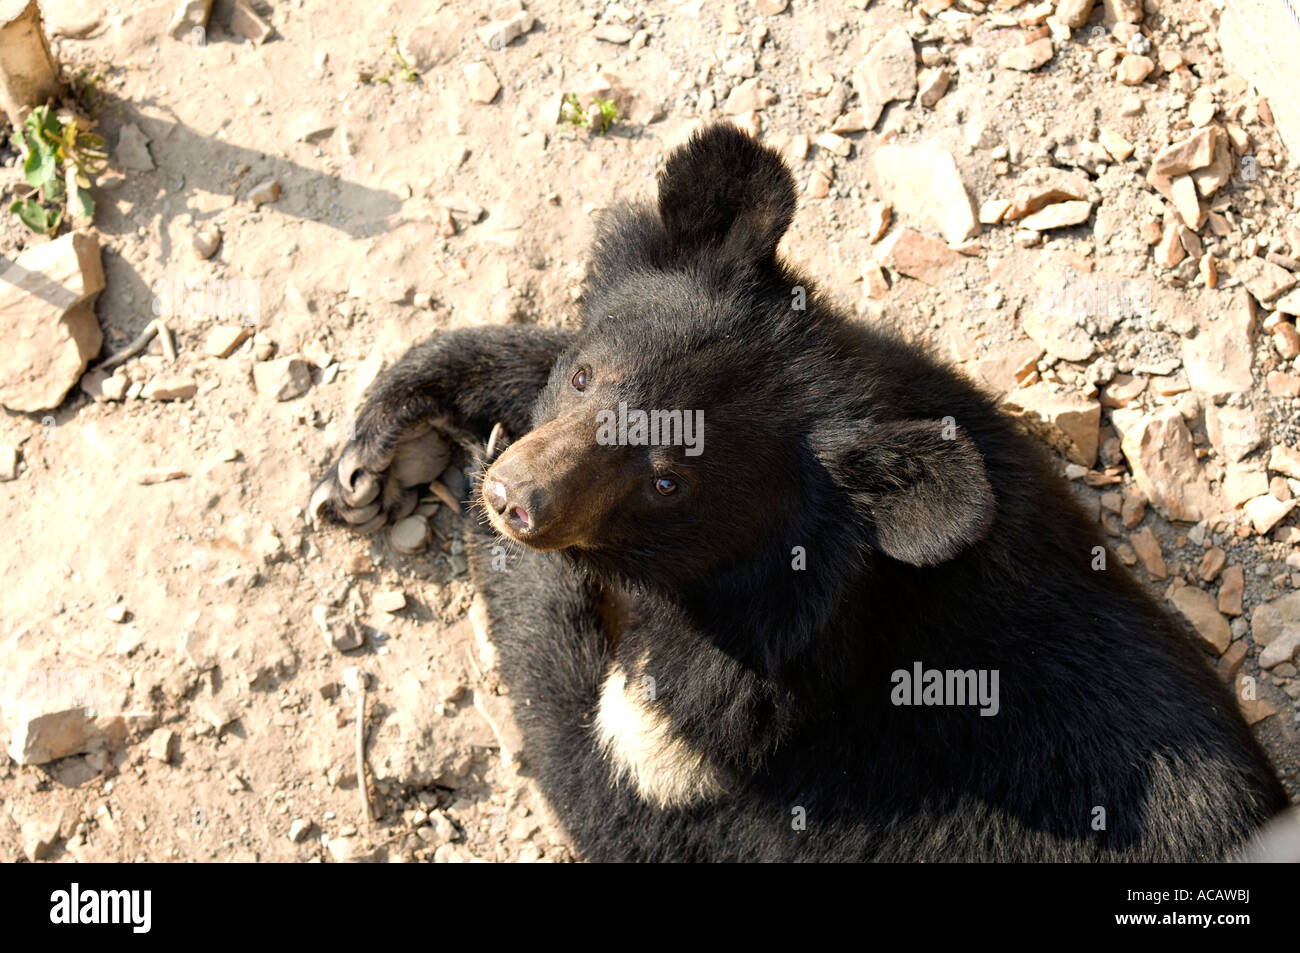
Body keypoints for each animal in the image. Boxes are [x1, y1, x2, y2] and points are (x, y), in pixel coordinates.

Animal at [310, 124, 1288, 861]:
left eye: (667, 483)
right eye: (587, 377)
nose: (515, 498)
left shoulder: (737, 740)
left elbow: (610, 778)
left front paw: (502, 537)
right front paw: (372, 448)